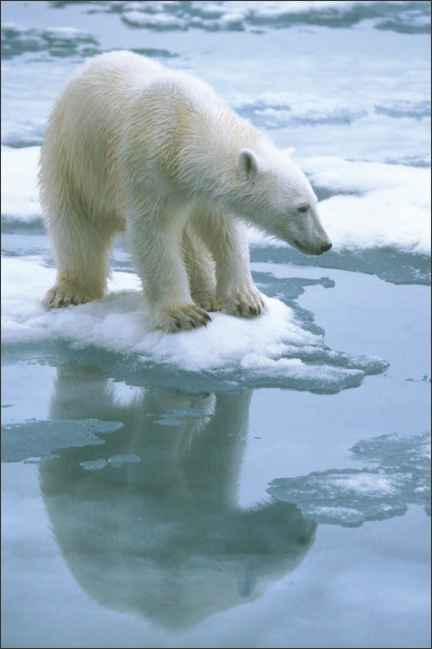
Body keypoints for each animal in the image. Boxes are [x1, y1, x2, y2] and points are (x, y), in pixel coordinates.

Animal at [40, 50, 330, 332]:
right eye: (301, 207)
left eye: (315, 201)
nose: (325, 243)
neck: (185, 125)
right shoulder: (147, 170)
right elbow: (153, 235)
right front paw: (183, 314)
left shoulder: (201, 191)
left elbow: (225, 233)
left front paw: (246, 300)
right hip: (72, 160)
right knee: (76, 229)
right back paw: (71, 291)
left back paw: (207, 295)